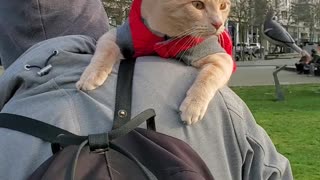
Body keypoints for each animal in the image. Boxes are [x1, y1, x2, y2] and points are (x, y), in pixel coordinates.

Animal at [77, 0, 232, 125]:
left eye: (223, 6)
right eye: (198, 5)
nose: (219, 24)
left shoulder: (220, 57)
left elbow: (209, 77)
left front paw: (193, 106)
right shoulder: (115, 34)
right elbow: (105, 51)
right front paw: (90, 76)